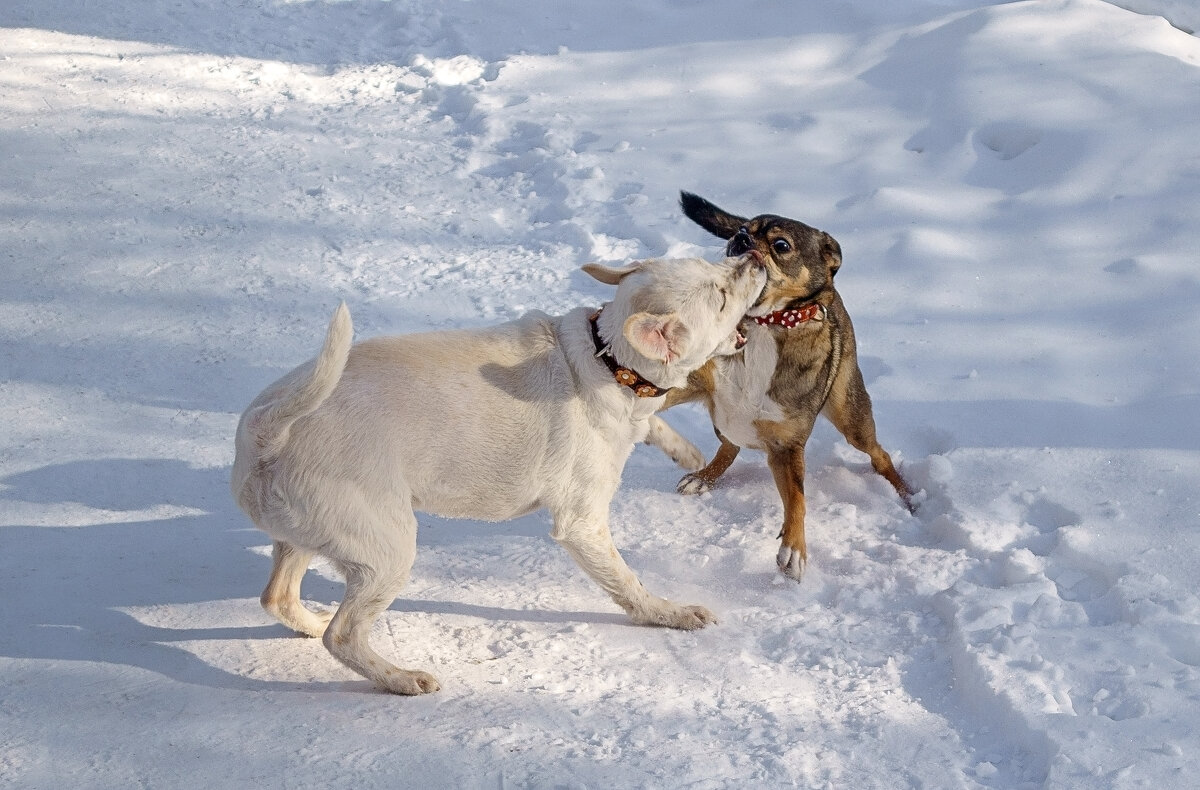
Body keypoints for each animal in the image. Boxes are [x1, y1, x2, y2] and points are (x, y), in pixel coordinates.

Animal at [229, 252, 763, 691]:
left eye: (717, 263)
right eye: (721, 296)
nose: (754, 256)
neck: (608, 356)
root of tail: (265, 433)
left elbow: (655, 423)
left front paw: (688, 454)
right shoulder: (583, 525)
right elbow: (628, 584)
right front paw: (671, 614)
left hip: (303, 536)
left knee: (278, 598)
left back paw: (317, 622)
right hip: (387, 550)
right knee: (342, 636)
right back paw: (400, 678)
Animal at [652, 189, 912, 571]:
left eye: (780, 245)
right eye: (744, 229)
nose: (740, 239)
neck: (765, 325)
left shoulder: (787, 446)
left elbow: (798, 500)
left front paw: (794, 548)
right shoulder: (693, 381)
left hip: (851, 416)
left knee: (879, 454)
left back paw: (906, 494)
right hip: (725, 416)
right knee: (729, 444)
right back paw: (703, 478)